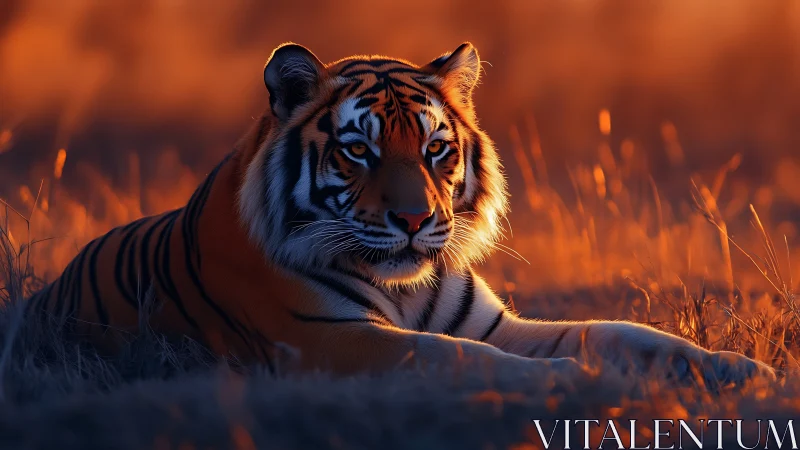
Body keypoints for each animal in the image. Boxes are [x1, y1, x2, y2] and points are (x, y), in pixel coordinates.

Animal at [25, 42, 773, 388]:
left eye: (437, 149)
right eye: (359, 151)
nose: (415, 221)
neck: (404, 286)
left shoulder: (499, 325)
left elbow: (626, 334)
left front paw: (742, 371)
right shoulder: (330, 340)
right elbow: (462, 359)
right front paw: (572, 381)